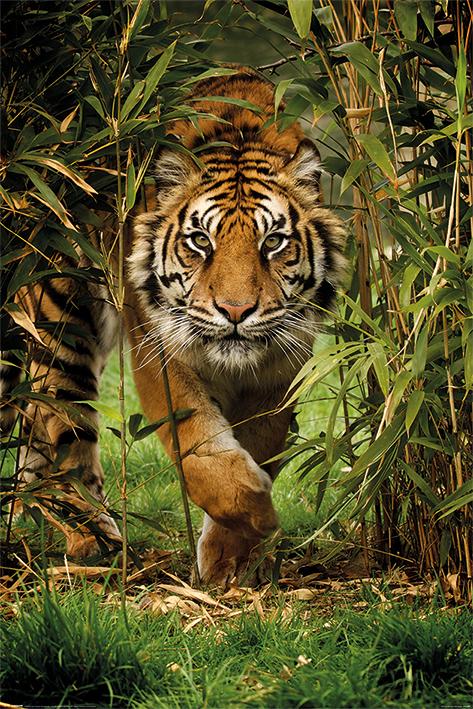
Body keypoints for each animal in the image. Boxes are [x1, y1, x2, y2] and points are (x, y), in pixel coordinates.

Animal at [1, 67, 345, 587]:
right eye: (200, 241)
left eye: (273, 242)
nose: (236, 311)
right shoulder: (160, 351)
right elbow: (199, 449)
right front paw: (257, 515)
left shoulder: (281, 365)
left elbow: (259, 442)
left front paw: (231, 559)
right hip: (61, 321)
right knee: (62, 430)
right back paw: (95, 542)